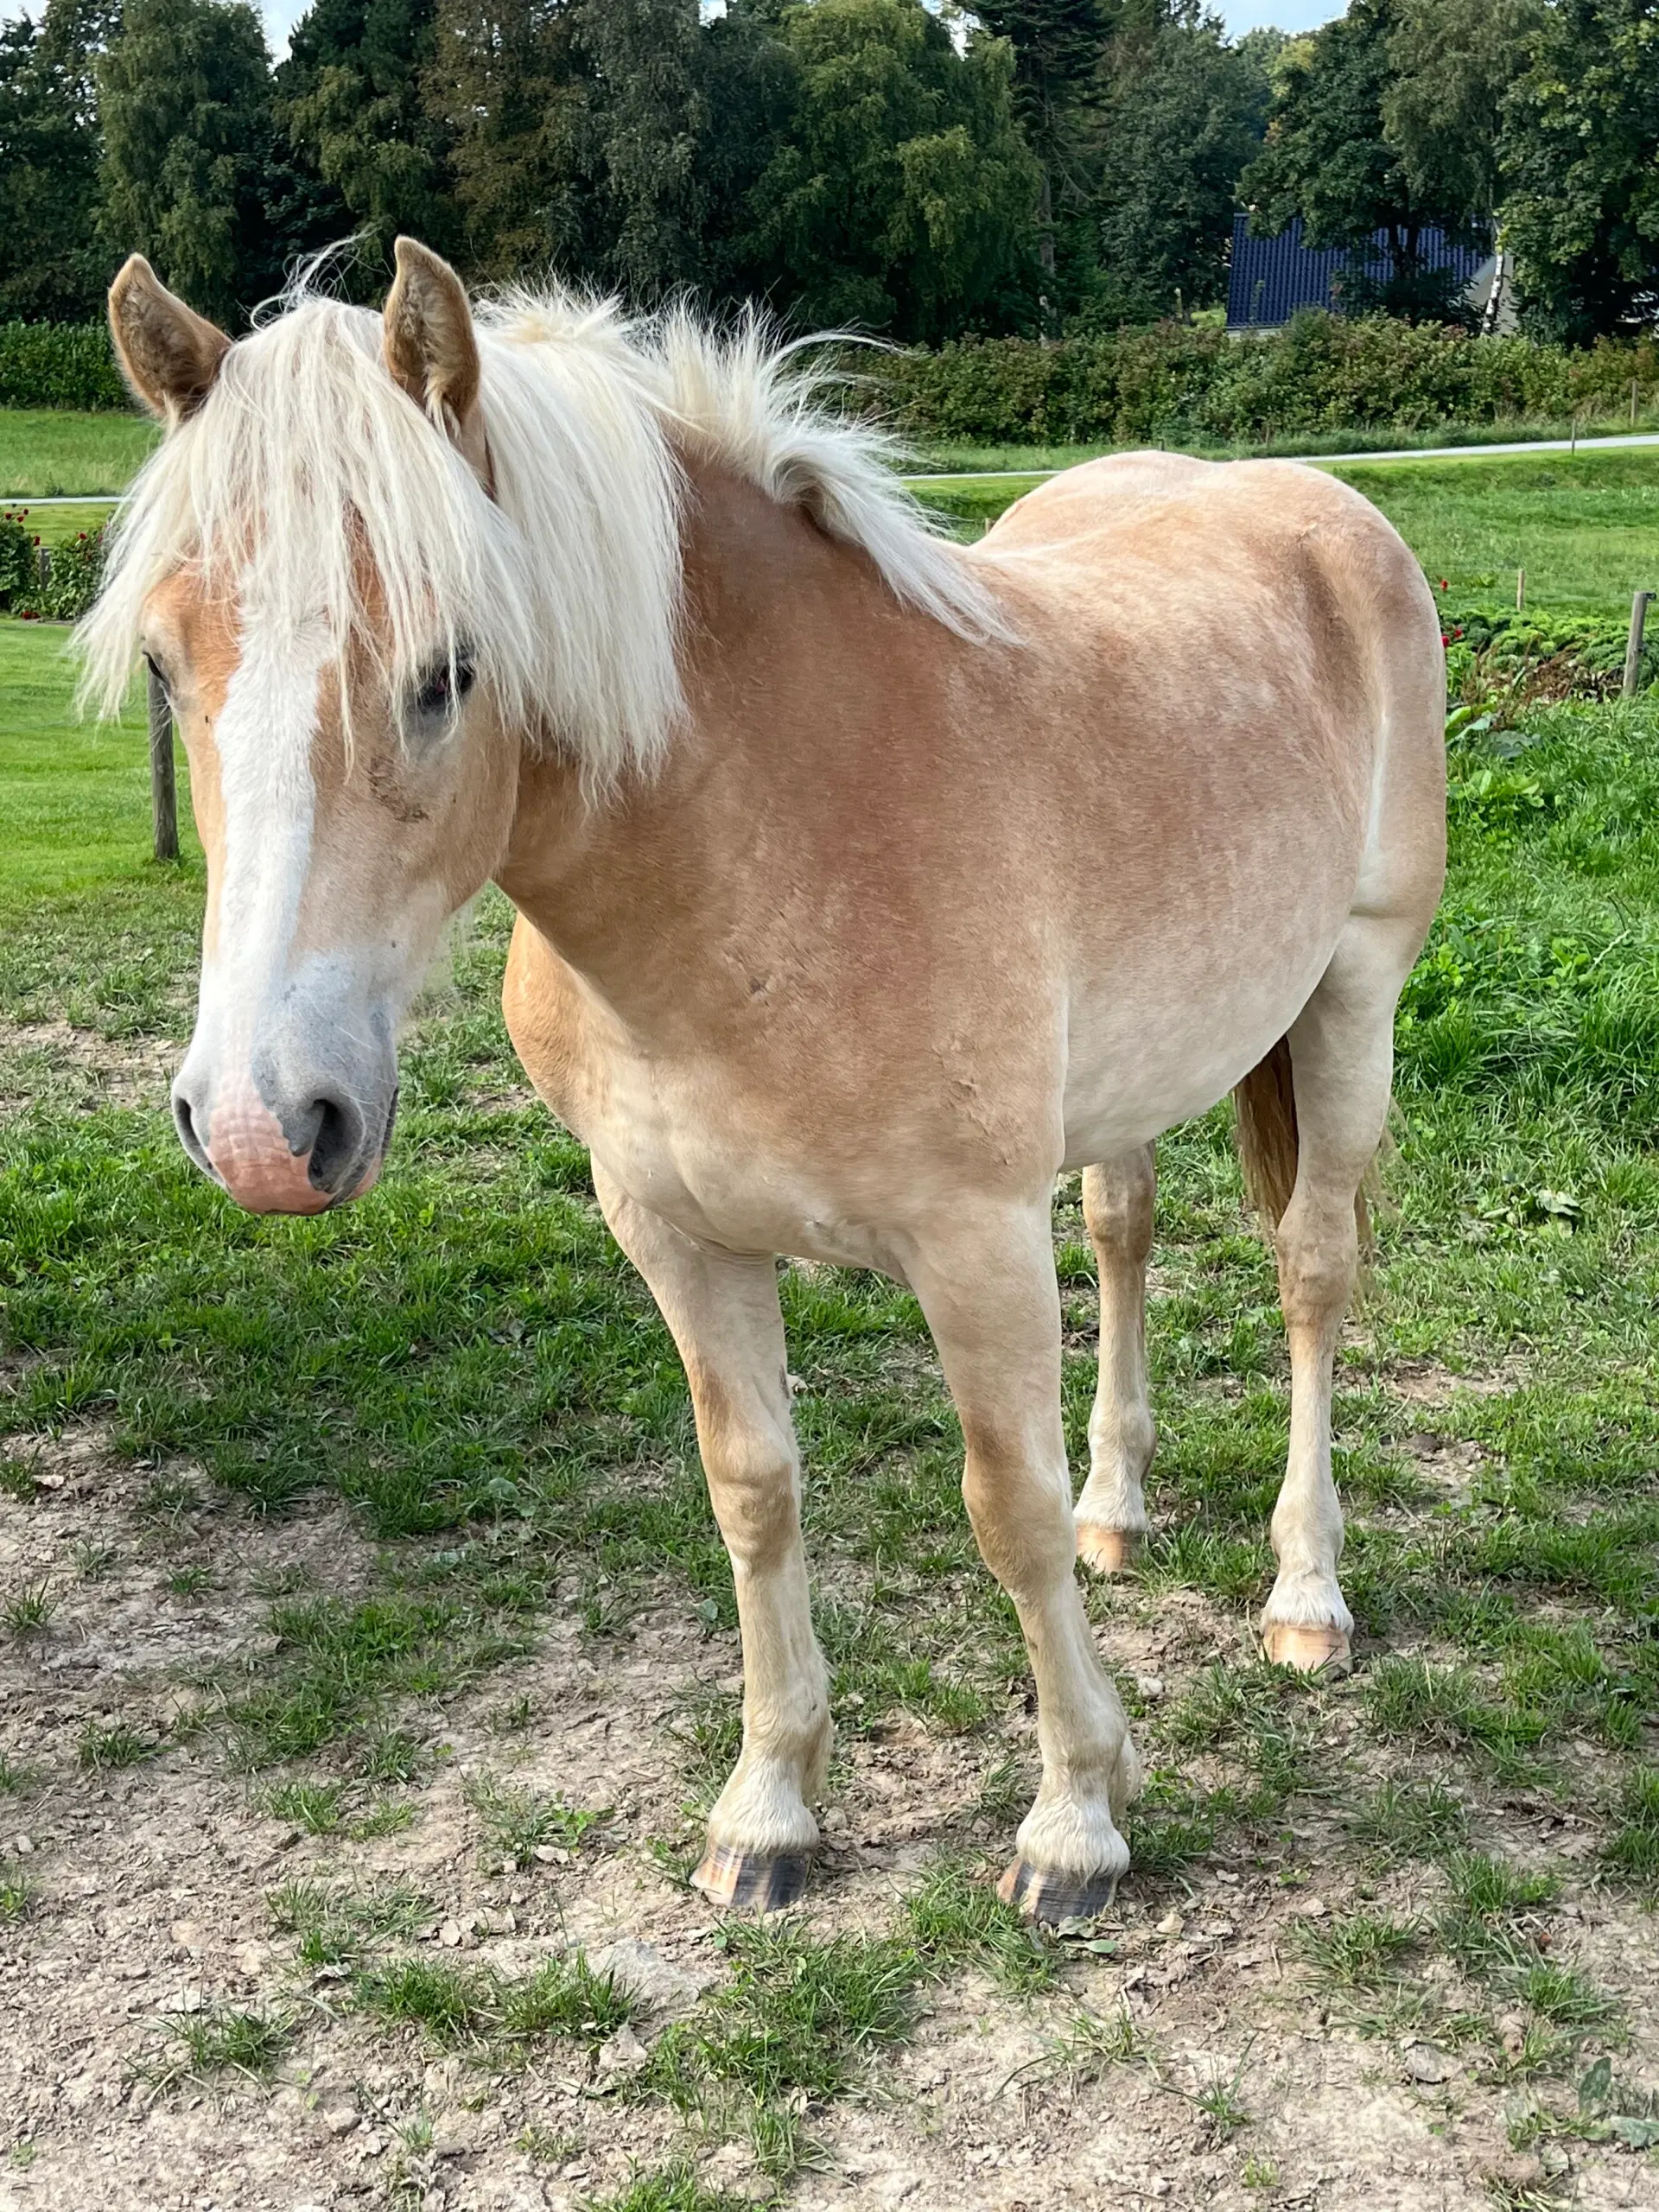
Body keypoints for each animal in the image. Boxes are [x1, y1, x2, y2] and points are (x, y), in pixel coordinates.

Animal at [84, 242, 1451, 1929]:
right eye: (164, 663)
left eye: (452, 669)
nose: (266, 1128)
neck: (768, 840)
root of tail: (1313, 505)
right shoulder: (672, 1232)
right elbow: (754, 1492)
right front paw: (771, 1807)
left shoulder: (972, 1244)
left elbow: (1003, 1512)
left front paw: (1076, 1819)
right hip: (1131, 1089)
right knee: (1125, 1235)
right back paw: (1119, 1515)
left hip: (1355, 996)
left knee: (1312, 1274)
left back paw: (1307, 1594)